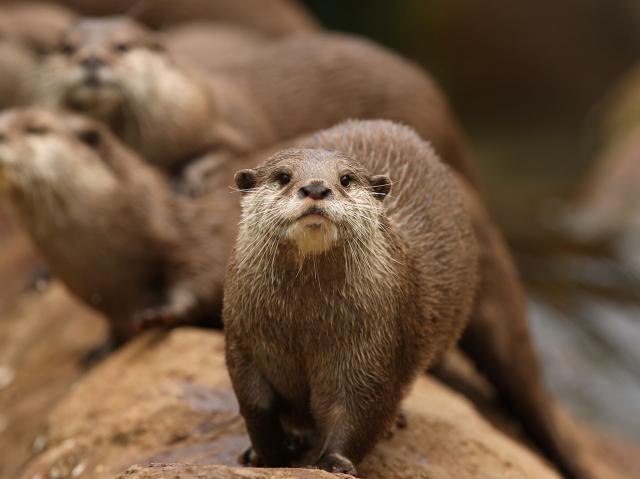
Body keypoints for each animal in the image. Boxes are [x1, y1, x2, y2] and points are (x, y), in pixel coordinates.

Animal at [38, 19, 477, 193]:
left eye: (122, 47)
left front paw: (188, 179)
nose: (91, 59)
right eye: (67, 48)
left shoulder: (229, 128)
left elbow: (230, 151)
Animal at [223, 121, 479, 474]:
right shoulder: (244, 342)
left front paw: (334, 462)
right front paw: (268, 456)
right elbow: (256, 408)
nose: (316, 187)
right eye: (284, 176)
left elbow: (361, 407)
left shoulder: (376, 343)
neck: (304, 324)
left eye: (345, 179)